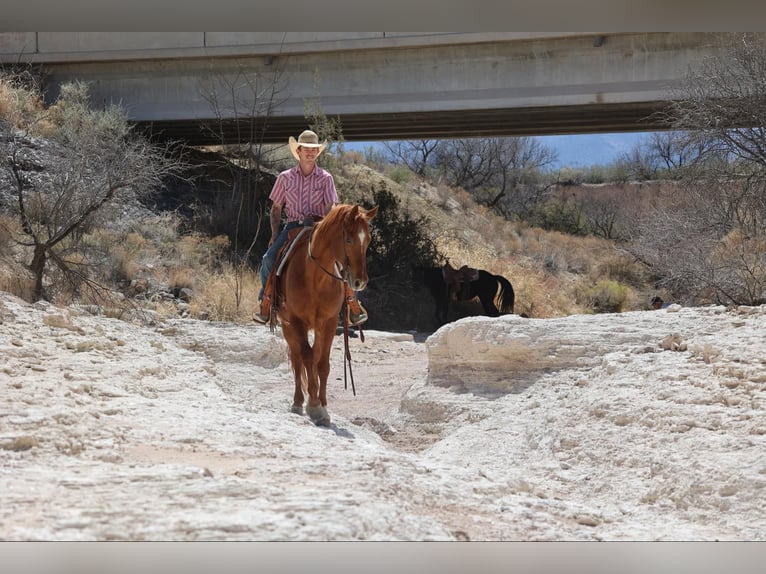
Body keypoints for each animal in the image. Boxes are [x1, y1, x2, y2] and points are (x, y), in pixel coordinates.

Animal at [275, 203, 378, 426]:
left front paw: (322, 407)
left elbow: (322, 363)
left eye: (368, 240)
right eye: (349, 239)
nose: (360, 281)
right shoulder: (296, 321)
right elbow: (305, 357)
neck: (316, 278)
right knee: (297, 359)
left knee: (314, 356)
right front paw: (313, 405)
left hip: (318, 327)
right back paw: (298, 402)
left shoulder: (329, 322)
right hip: (287, 326)